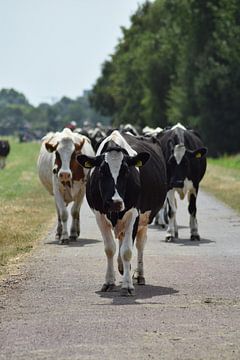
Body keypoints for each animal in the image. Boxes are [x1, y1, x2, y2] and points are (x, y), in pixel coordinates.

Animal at [77, 129, 167, 296]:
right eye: (101, 171)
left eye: (126, 171)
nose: (115, 202)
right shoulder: (100, 215)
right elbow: (110, 249)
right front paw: (109, 281)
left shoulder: (133, 214)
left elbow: (127, 251)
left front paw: (127, 285)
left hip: (144, 219)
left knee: (139, 244)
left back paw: (139, 275)